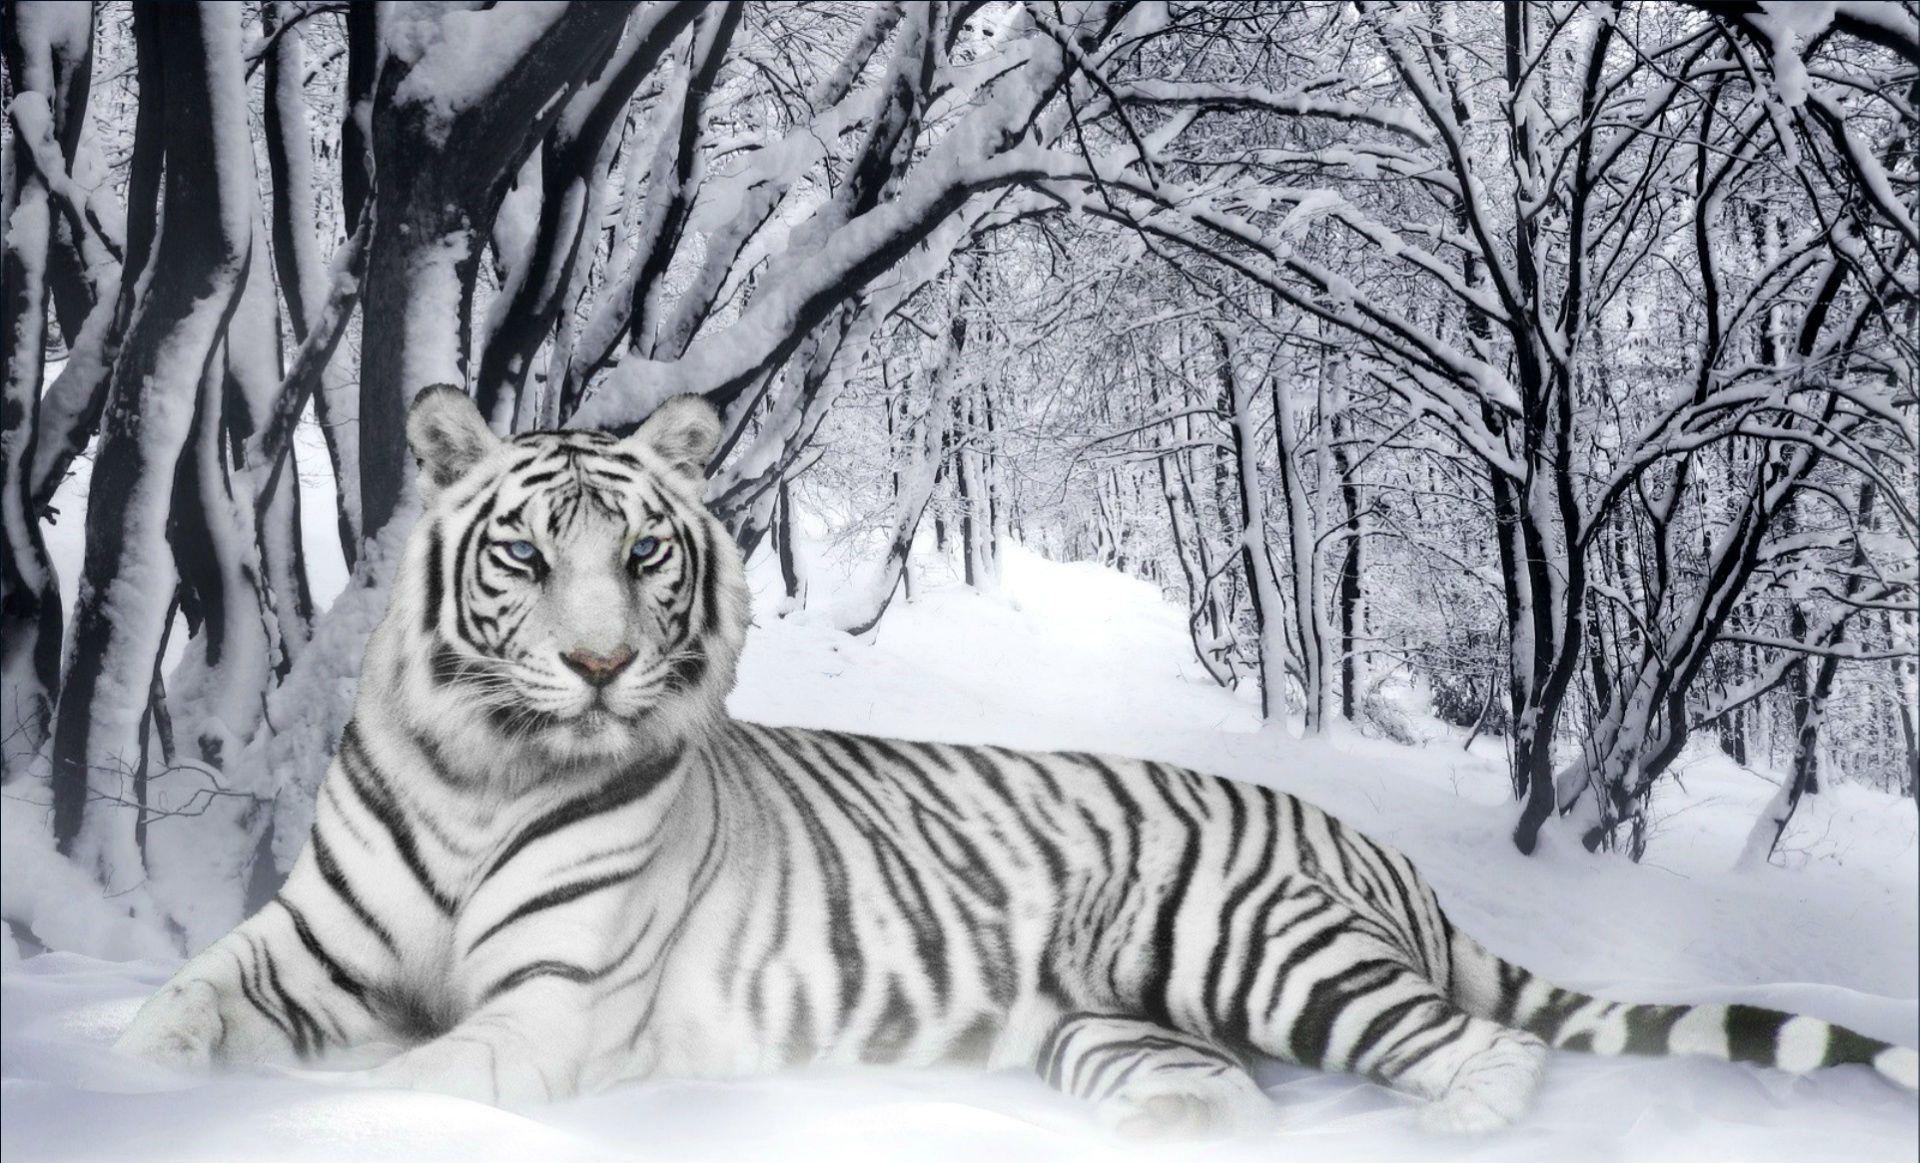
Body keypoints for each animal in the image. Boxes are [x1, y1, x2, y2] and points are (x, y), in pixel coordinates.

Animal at [114, 384, 1919, 1139]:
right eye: (524, 554)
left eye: (642, 556)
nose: (605, 663)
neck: (486, 767)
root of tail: (1373, 844)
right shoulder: (300, 946)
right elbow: (176, 1011)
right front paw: (126, 1077)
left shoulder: (548, 1008)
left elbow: (393, 1075)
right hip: (1110, 1021)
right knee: (1225, 1085)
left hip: (1258, 944)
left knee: (1485, 1046)